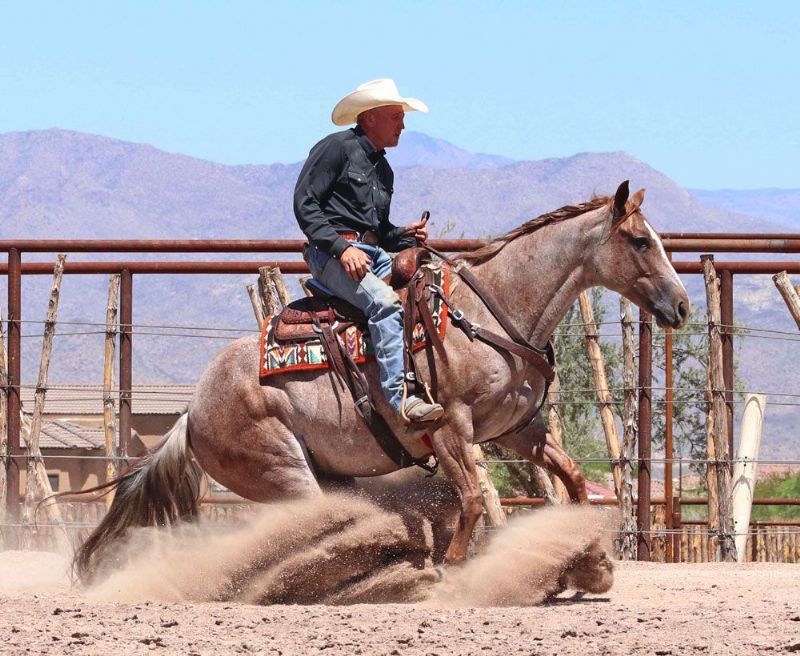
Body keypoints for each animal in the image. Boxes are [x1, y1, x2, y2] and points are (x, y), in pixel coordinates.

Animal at [74, 181, 689, 580]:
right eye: (640, 241)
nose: (681, 305)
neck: (493, 311)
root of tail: (192, 411)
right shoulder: (450, 426)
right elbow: (470, 497)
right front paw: (454, 567)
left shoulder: (519, 428)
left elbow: (573, 479)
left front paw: (588, 561)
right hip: (284, 473)